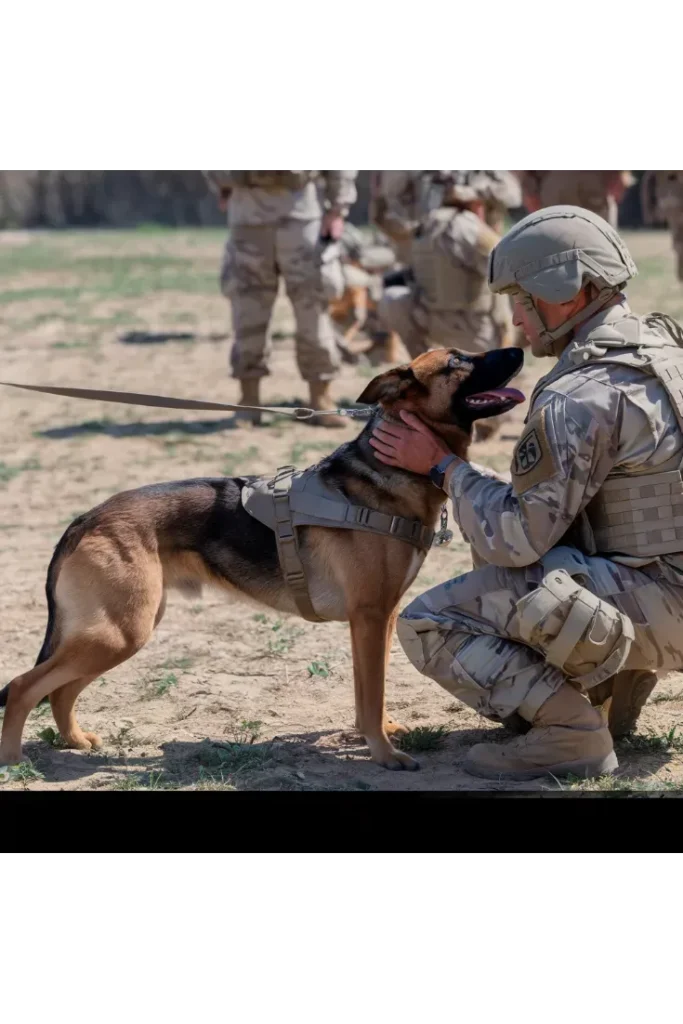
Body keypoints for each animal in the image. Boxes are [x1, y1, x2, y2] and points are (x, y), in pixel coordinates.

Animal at [0, 344, 528, 770]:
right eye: (457, 362)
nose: (520, 348)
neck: (387, 469)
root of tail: (87, 517)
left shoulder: (378, 619)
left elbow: (368, 694)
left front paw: (380, 734)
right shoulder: (371, 617)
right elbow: (372, 693)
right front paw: (384, 755)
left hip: (120, 630)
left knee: (60, 689)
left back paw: (74, 740)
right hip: (121, 632)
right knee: (26, 686)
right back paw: (13, 759)